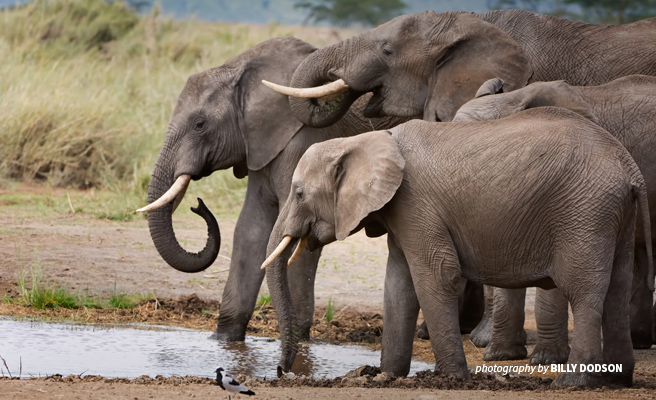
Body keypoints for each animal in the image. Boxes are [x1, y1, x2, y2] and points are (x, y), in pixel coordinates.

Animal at [139, 36, 404, 340]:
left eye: (199, 124)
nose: (199, 204)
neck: (240, 71)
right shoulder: (261, 144)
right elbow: (250, 229)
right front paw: (224, 339)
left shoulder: (303, 140)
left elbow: (295, 232)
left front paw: (297, 337)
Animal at [264, 107, 652, 388]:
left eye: (299, 193)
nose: (282, 372)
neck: (364, 140)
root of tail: (629, 168)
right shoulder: (402, 212)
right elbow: (399, 286)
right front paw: (385, 376)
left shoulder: (416, 203)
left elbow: (436, 277)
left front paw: (451, 378)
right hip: (611, 213)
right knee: (616, 289)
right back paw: (617, 380)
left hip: (585, 211)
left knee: (583, 291)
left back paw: (572, 384)